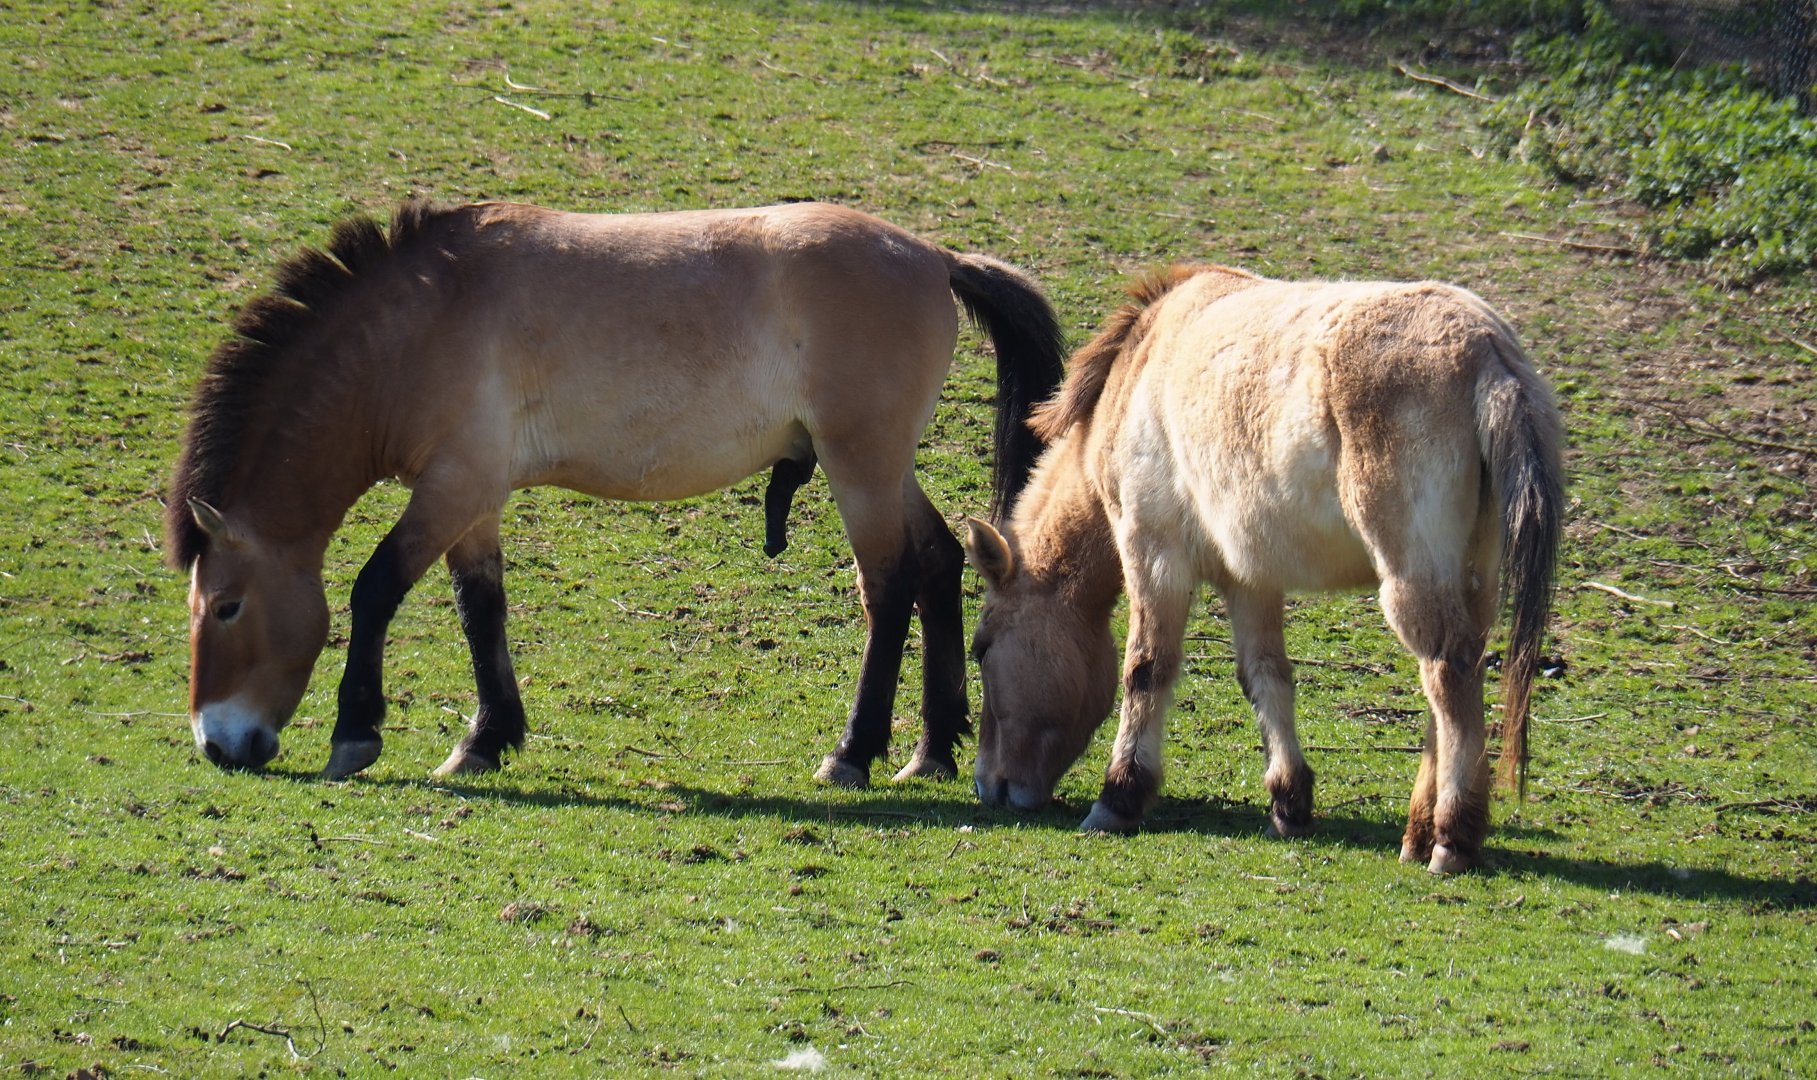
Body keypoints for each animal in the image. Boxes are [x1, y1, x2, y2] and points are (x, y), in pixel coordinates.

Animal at [166, 199, 1065, 784]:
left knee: (888, 585)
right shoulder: (473, 498)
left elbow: (376, 587)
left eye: (226, 607)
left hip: (860, 467)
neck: (423, 324)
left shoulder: (451, 487)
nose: (218, 744)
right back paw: (931, 749)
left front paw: (355, 732)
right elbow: (480, 607)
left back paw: (853, 752)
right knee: (939, 560)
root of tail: (934, 257)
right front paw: (486, 740)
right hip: (881, 467)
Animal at [963, 264, 1563, 873]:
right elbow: (1266, 676)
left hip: (1412, 578)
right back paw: (1418, 833)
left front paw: (1119, 796)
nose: (988, 786)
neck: (1144, 359)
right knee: (1450, 686)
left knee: (1448, 672)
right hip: (1471, 578)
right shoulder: (1249, 579)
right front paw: (1289, 803)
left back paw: (1451, 838)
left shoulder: (1152, 554)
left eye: (981, 649)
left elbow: (1146, 669)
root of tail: (1487, 349)